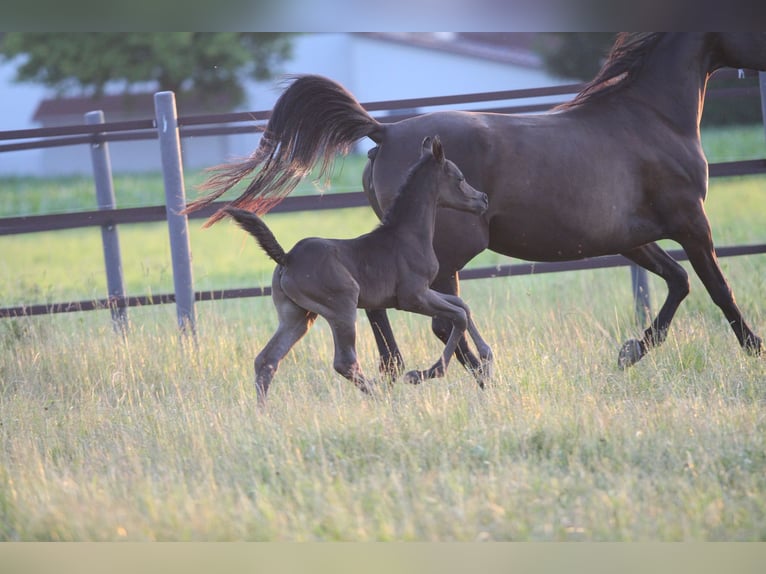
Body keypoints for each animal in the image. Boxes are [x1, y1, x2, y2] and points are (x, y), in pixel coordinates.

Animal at [224, 136, 492, 405]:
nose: (483, 199)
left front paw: (486, 357)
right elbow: (458, 315)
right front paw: (421, 374)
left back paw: (262, 411)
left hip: (297, 316)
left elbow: (462, 306)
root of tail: (287, 258)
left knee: (267, 359)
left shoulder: (424, 292)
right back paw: (381, 397)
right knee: (345, 362)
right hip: (342, 307)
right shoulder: (412, 297)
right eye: (459, 178)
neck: (408, 235)